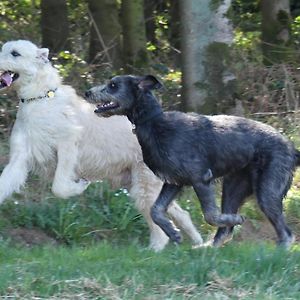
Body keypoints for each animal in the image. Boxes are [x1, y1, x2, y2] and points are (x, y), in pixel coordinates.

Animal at [0, 40, 204, 251]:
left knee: (160, 227)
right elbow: (5, 183)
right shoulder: (19, 159)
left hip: (145, 186)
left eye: (15, 53)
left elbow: (59, 187)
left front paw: (80, 186)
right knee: (180, 214)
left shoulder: (67, 146)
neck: (39, 98)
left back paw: (154, 250)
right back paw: (199, 243)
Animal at [85, 74, 300, 247]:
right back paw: (207, 248)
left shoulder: (201, 179)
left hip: (267, 191)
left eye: (113, 85)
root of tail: (292, 149)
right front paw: (173, 233)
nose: (87, 92)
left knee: (286, 235)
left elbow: (210, 216)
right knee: (226, 231)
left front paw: (236, 219)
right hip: (233, 188)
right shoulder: (174, 182)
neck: (154, 122)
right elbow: (156, 210)